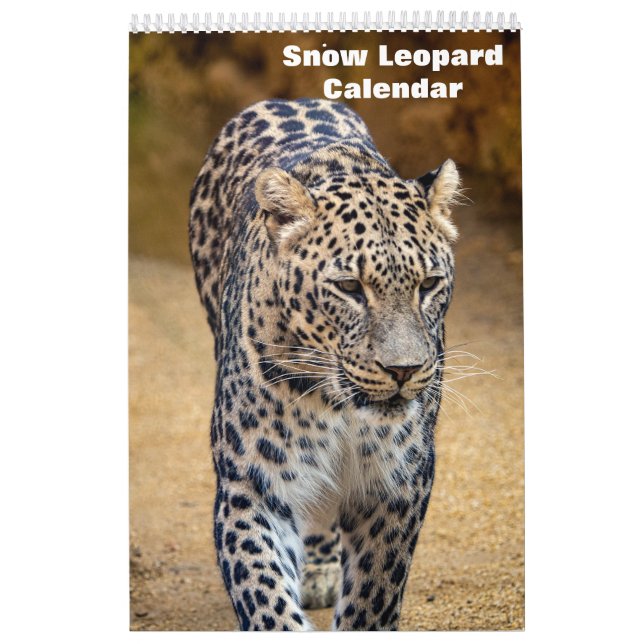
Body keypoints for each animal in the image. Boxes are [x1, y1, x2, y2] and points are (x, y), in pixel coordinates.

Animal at [188, 98, 460, 631]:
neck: (341, 408)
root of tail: (286, 100)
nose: (404, 371)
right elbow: (263, 593)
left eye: (429, 284)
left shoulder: (399, 481)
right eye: (350, 288)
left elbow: (375, 595)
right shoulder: (250, 480)